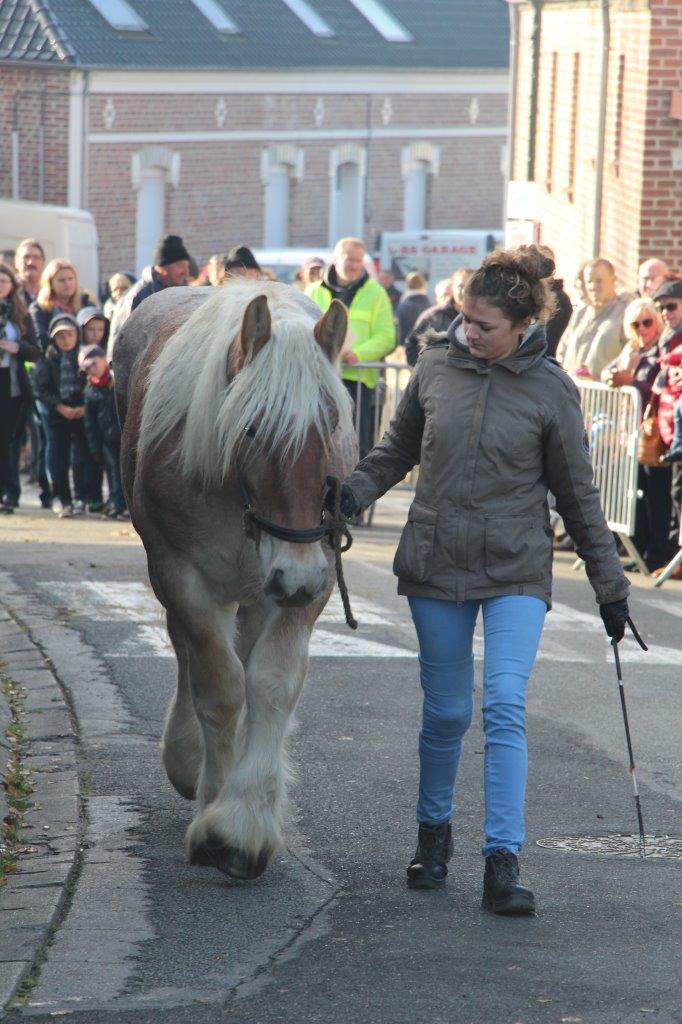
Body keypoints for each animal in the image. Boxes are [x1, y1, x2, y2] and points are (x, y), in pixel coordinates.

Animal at [112, 280, 356, 880]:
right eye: (251, 428)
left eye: (330, 425)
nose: (297, 572)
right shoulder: (184, 577)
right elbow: (218, 686)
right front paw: (217, 813)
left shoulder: (305, 585)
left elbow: (270, 682)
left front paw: (246, 818)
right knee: (188, 651)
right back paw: (187, 757)